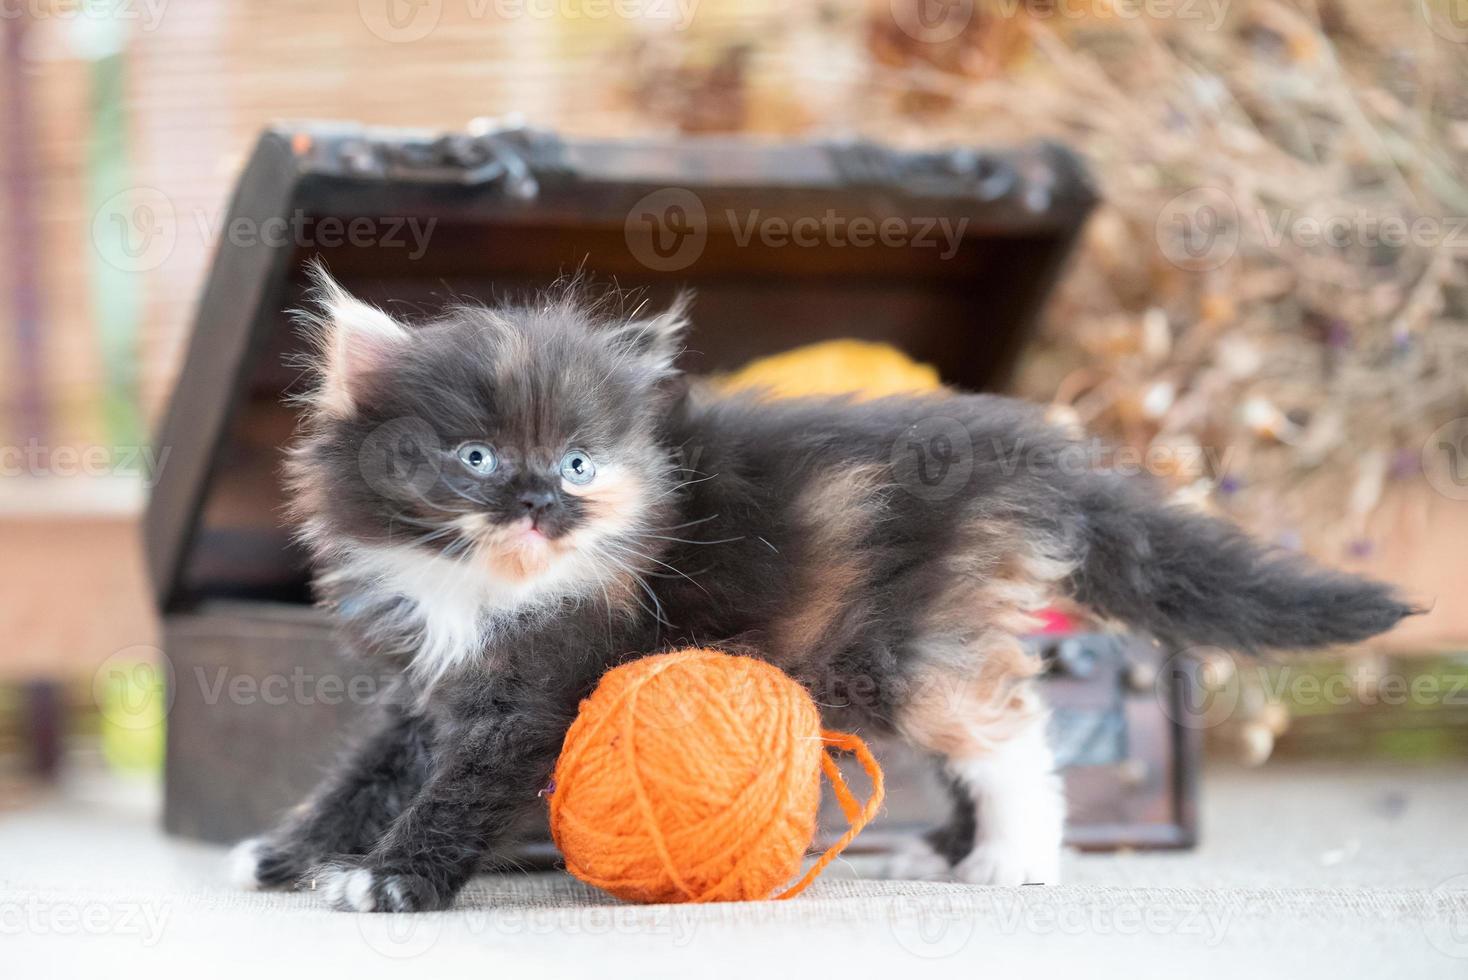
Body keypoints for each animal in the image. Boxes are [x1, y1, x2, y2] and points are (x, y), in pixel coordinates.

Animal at [226, 265, 1409, 909]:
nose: (539, 503)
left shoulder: (539, 691)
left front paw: (390, 880)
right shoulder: (428, 682)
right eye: (475, 458)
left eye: (578, 462)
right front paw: (291, 851)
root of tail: (1035, 452)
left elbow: (459, 785)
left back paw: (1013, 856)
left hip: (917, 643)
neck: (485, 582)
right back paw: (947, 847)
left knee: (1012, 736)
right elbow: (370, 768)